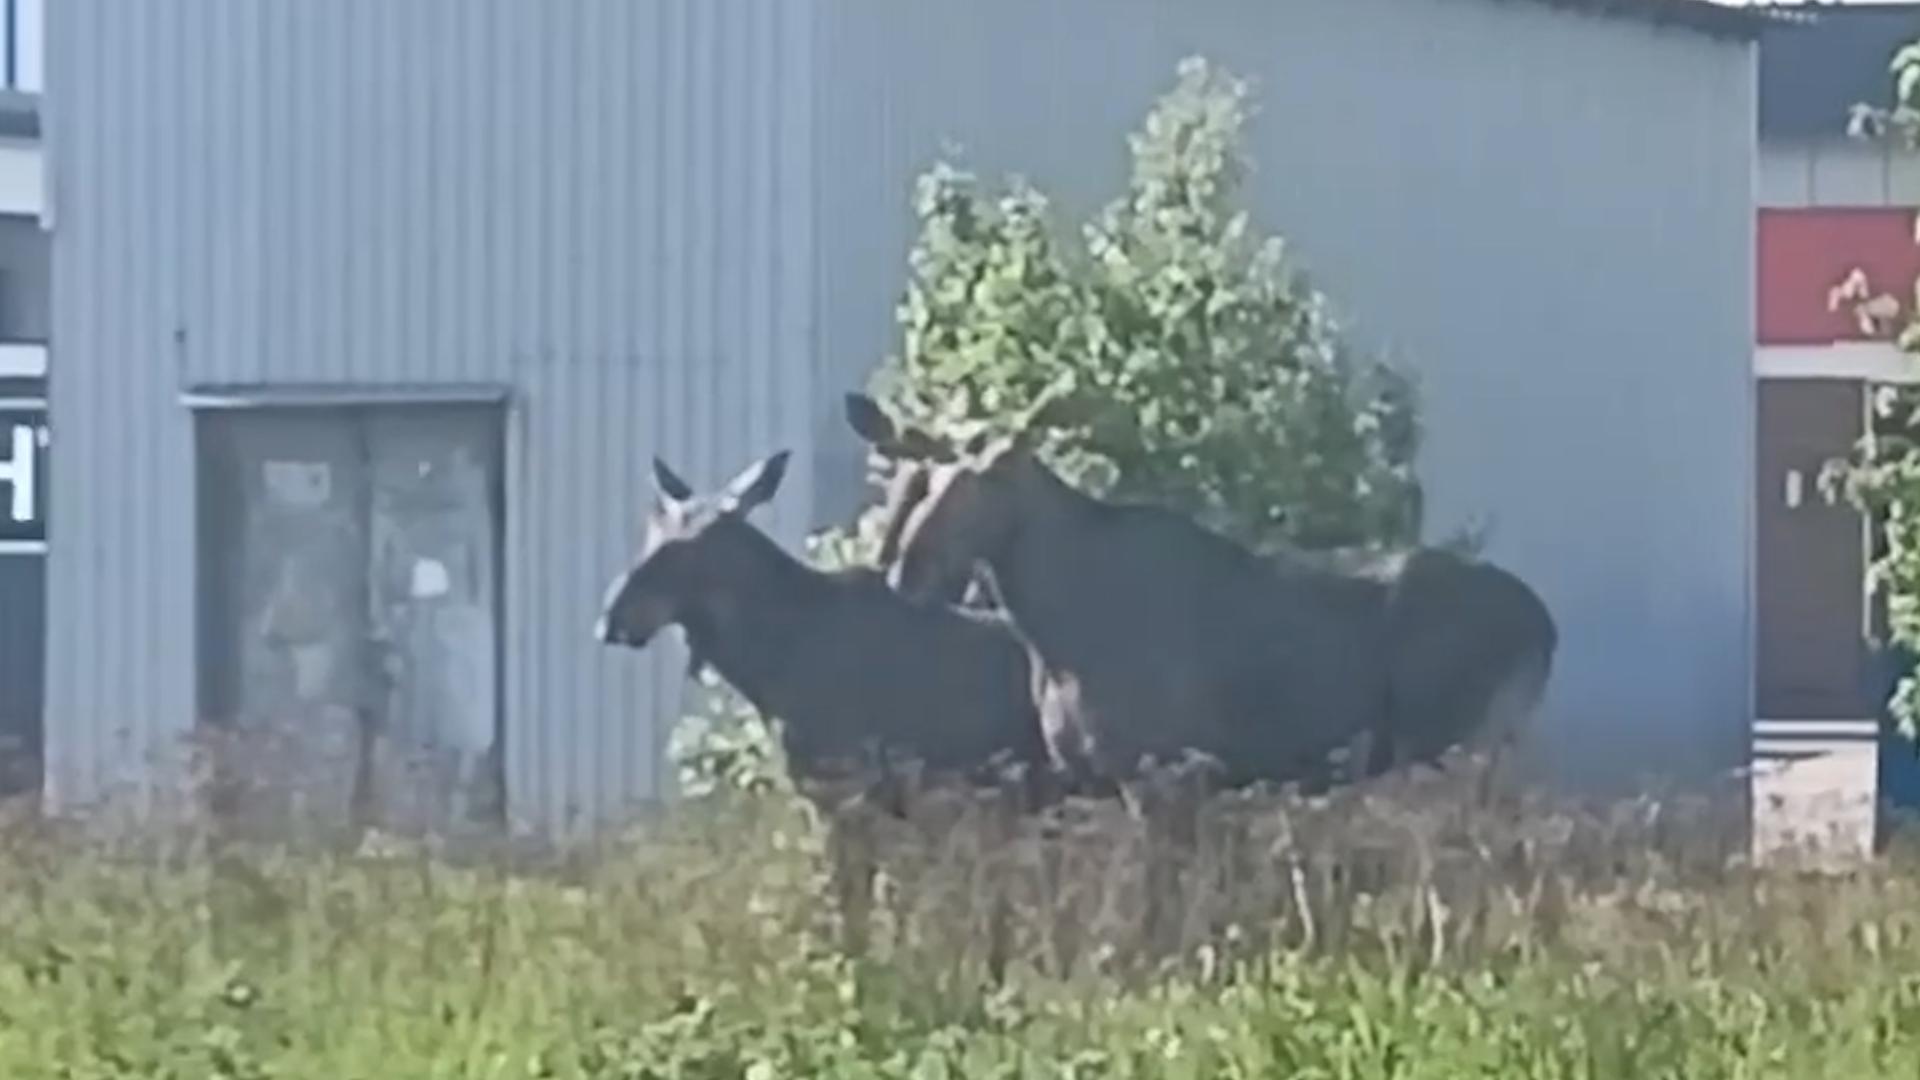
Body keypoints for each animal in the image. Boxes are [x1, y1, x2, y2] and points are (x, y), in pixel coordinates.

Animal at [842, 392, 1557, 807]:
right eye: (920, 475)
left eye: (991, 480)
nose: (909, 568)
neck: (1051, 631)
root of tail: (1546, 627)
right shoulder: (1089, 773)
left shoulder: (1154, 770)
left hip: (1455, 748)